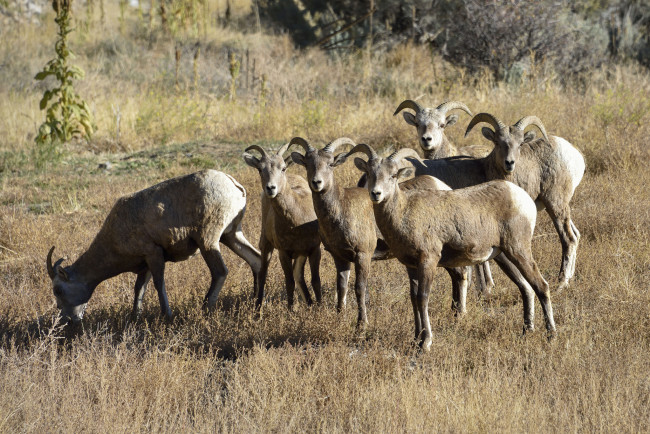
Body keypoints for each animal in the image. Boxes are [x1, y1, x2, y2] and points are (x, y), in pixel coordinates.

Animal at [45, 170, 260, 322]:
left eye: (58, 290)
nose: (68, 320)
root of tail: (234, 185)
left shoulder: (154, 255)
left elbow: (158, 284)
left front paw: (167, 315)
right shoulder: (145, 265)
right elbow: (139, 289)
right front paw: (135, 317)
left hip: (209, 241)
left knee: (220, 272)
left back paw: (205, 309)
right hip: (231, 235)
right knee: (256, 259)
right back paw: (256, 300)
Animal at [240, 144, 322, 310]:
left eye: (283, 168)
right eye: (260, 169)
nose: (271, 188)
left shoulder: (314, 249)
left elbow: (315, 281)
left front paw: (319, 309)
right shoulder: (284, 253)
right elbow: (289, 283)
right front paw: (291, 310)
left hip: (300, 254)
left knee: (299, 276)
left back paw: (309, 304)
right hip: (266, 245)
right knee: (263, 274)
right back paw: (258, 310)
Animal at [346, 144, 556, 350]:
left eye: (393, 175)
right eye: (370, 173)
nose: (376, 194)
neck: (404, 212)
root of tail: (522, 198)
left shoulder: (428, 261)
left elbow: (423, 297)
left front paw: (426, 343)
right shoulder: (411, 266)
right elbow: (413, 298)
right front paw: (415, 340)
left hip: (519, 250)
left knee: (541, 286)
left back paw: (551, 335)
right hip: (504, 256)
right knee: (526, 288)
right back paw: (527, 331)